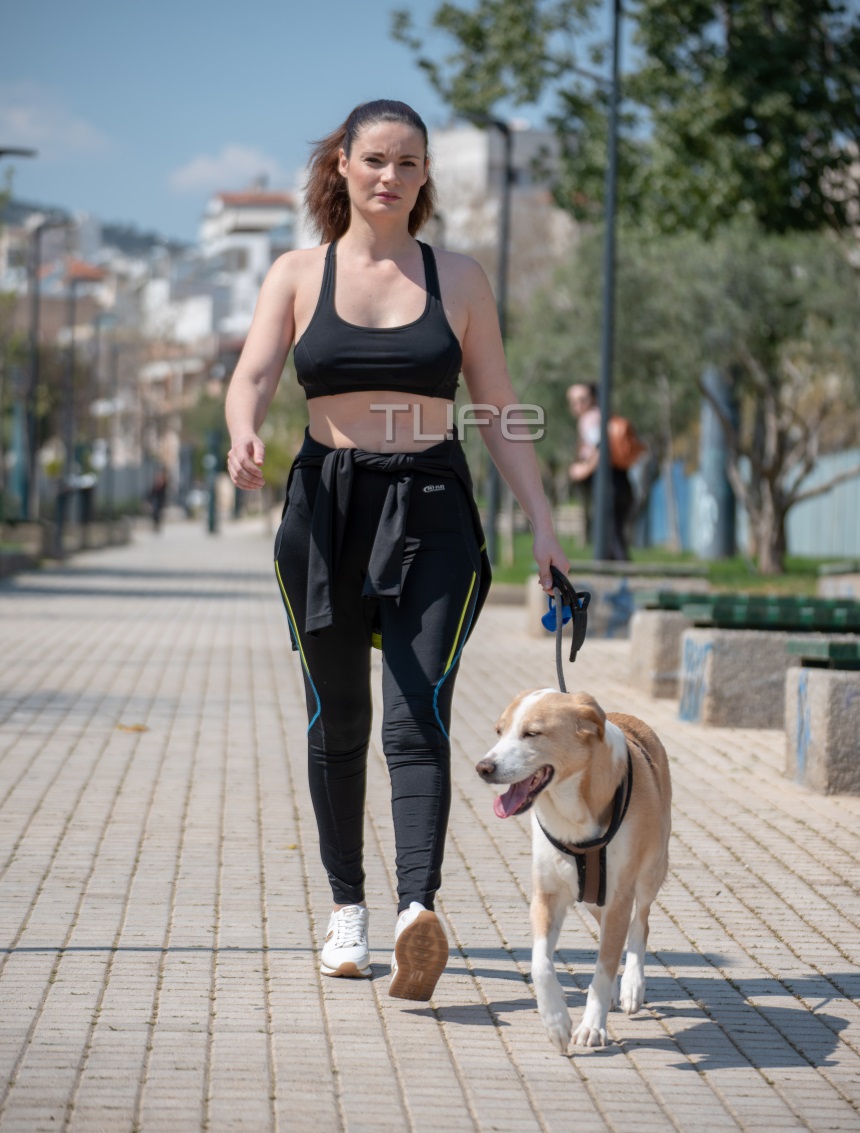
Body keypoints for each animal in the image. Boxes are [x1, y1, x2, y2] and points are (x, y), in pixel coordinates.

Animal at [476, 689, 672, 1051]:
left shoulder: (619, 897)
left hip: (650, 870)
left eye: (532, 733)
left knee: (641, 923)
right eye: (499, 731)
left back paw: (631, 986)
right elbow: (541, 964)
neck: (571, 811)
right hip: (594, 897)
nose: (484, 767)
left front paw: (592, 1026)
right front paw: (556, 1021)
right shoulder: (547, 896)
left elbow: (603, 970)